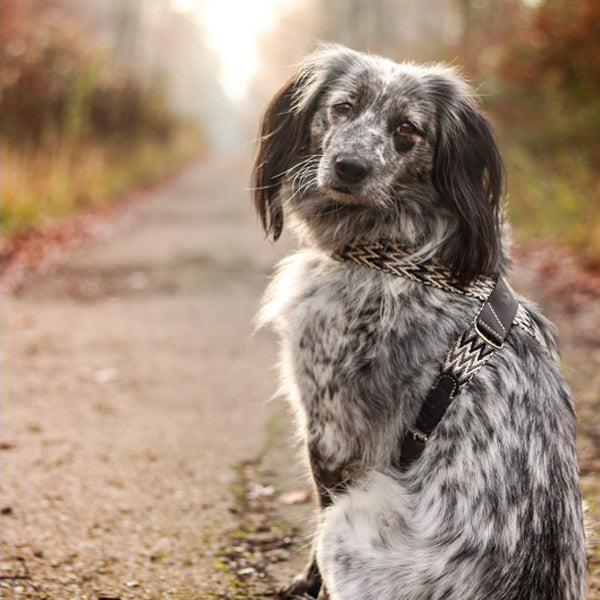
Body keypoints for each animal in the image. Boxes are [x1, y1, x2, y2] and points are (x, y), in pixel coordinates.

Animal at [251, 45, 588, 600]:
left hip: (349, 527)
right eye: (342, 108)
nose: (349, 167)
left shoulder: (330, 431)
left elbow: (316, 525)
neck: (396, 250)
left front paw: (303, 585)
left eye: (407, 129)